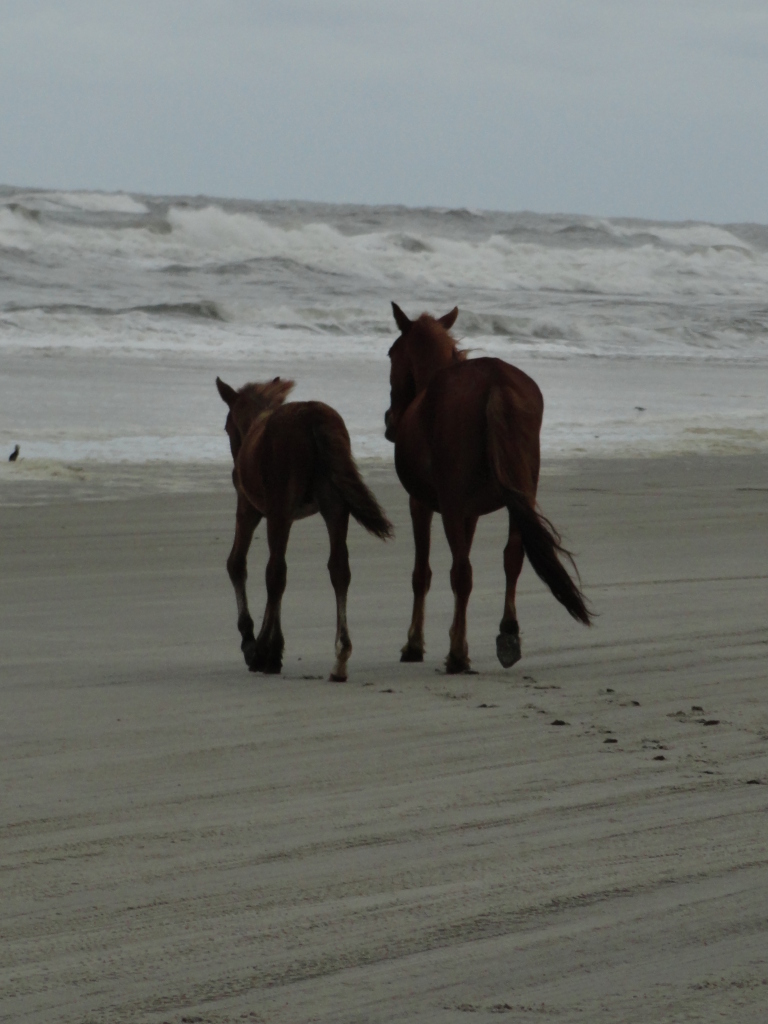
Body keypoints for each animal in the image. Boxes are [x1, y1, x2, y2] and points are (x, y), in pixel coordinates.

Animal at [217, 376, 393, 681]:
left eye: (227, 426)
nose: (234, 468)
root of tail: (313, 416)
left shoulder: (250, 509)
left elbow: (237, 564)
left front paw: (254, 645)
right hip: (335, 506)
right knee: (339, 569)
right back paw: (340, 657)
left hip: (281, 509)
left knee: (275, 572)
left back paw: (264, 651)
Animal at [384, 303, 591, 673]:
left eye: (391, 354)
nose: (389, 420)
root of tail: (497, 384)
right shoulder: (471, 513)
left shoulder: (422, 504)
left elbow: (423, 573)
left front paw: (416, 644)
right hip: (522, 496)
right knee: (512, 557)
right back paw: (507, 634)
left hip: (452, 505)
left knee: (462, 572)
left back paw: (457, 656)